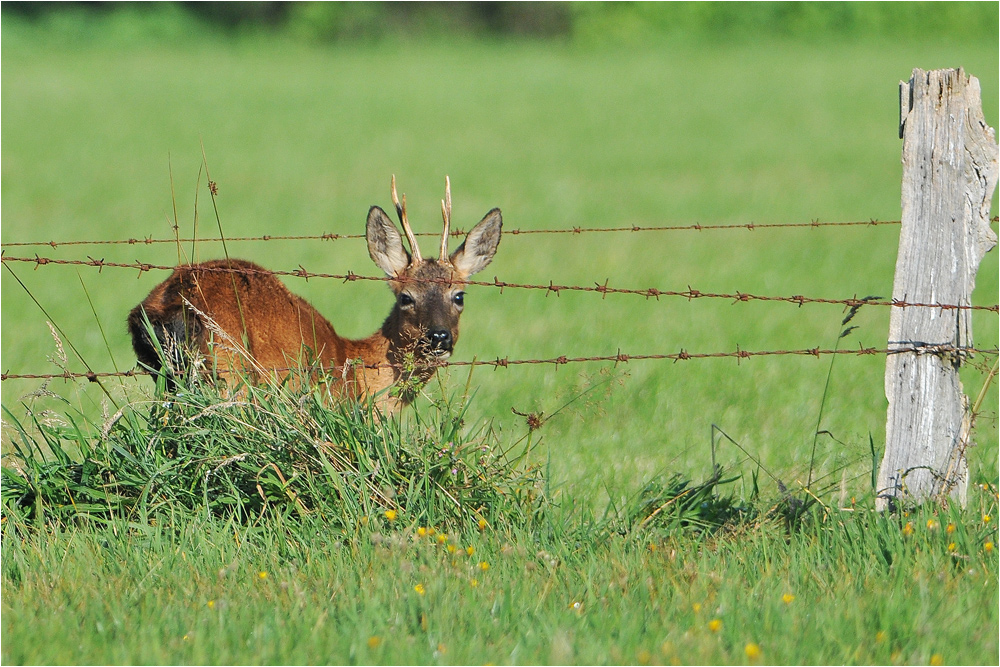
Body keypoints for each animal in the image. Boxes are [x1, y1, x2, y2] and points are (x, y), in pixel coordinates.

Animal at [129, 176, 504, 412]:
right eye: (405, 297)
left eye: (459, 296)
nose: (439, 336)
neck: (360, 375)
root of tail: (168, 303)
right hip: (226, 370)